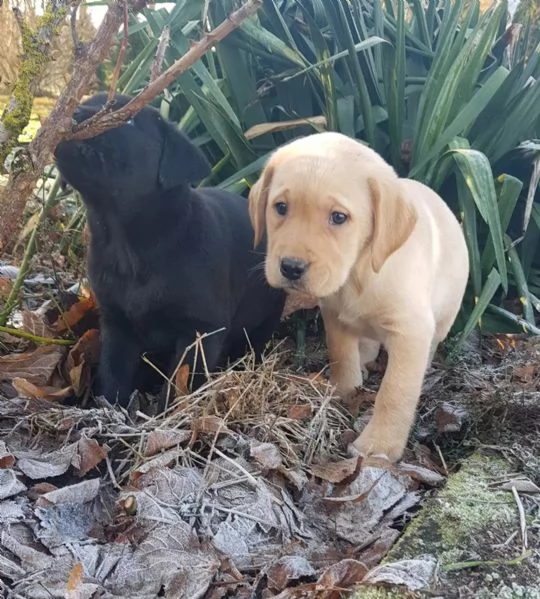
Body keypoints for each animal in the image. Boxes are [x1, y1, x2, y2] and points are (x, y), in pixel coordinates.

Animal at [54, 94, 284, 410]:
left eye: (128, 119)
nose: (72, 113)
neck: (129, 246)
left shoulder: (200, 330)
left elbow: (180, 382)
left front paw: (164, 413)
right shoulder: (117, 323)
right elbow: (113, 372)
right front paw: (109, 408)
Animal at [249, 132, 468, 460]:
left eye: (338, 217)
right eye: (281, 207)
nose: (291, 267)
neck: (356, 274)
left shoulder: (411, 332)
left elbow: (395, 391)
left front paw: (380, 445)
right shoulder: (334, 315)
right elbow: (341, 355)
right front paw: (346, 391)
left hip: (443, 318)